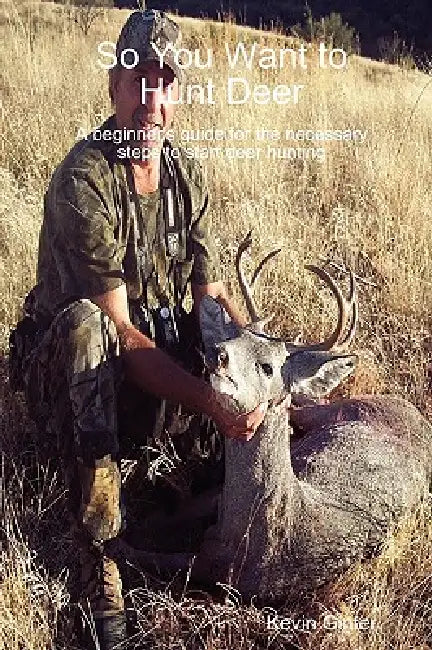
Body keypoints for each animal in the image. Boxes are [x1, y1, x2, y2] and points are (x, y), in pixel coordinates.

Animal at [119, 233, 432, 603]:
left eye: (267, 366)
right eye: (233, 337)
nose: (218, 354)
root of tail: (417, 415)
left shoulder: (214, 569)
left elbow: (133, 554)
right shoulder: (213, 504)